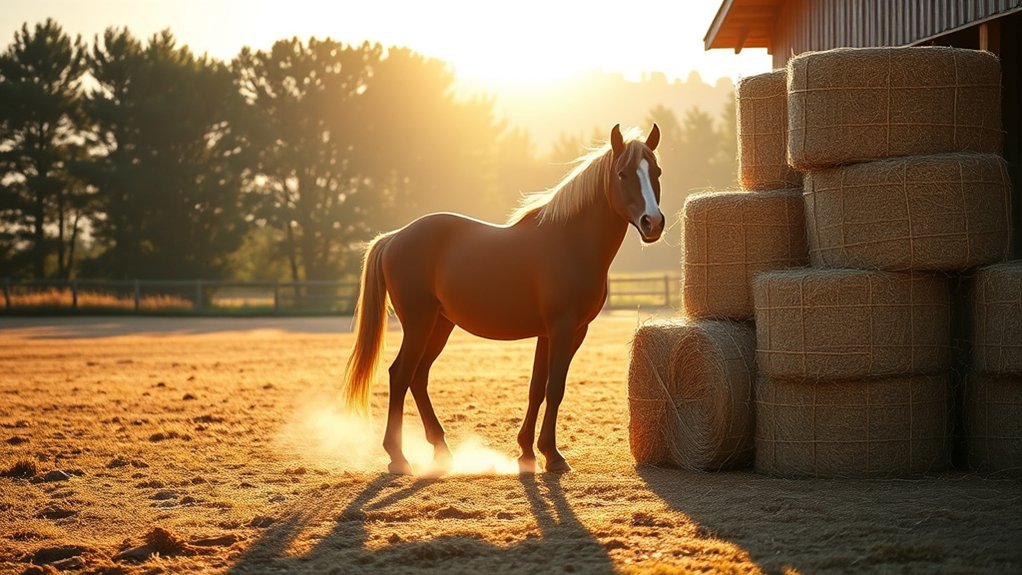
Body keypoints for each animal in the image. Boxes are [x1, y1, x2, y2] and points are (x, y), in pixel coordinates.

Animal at [342, 124, 664, 474]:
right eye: (622, 174)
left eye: (656, 171)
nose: (653, 223)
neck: (570, 242)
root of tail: (394, 238)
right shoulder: (564, 329)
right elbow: (555, 388)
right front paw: (553, 455)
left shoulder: (554, 333)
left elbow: (537, 389)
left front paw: (526, 451)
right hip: (418, 324)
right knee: (400, 375)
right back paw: (398, 457)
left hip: (440, 325)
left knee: (418, 377)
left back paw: (441, 449)